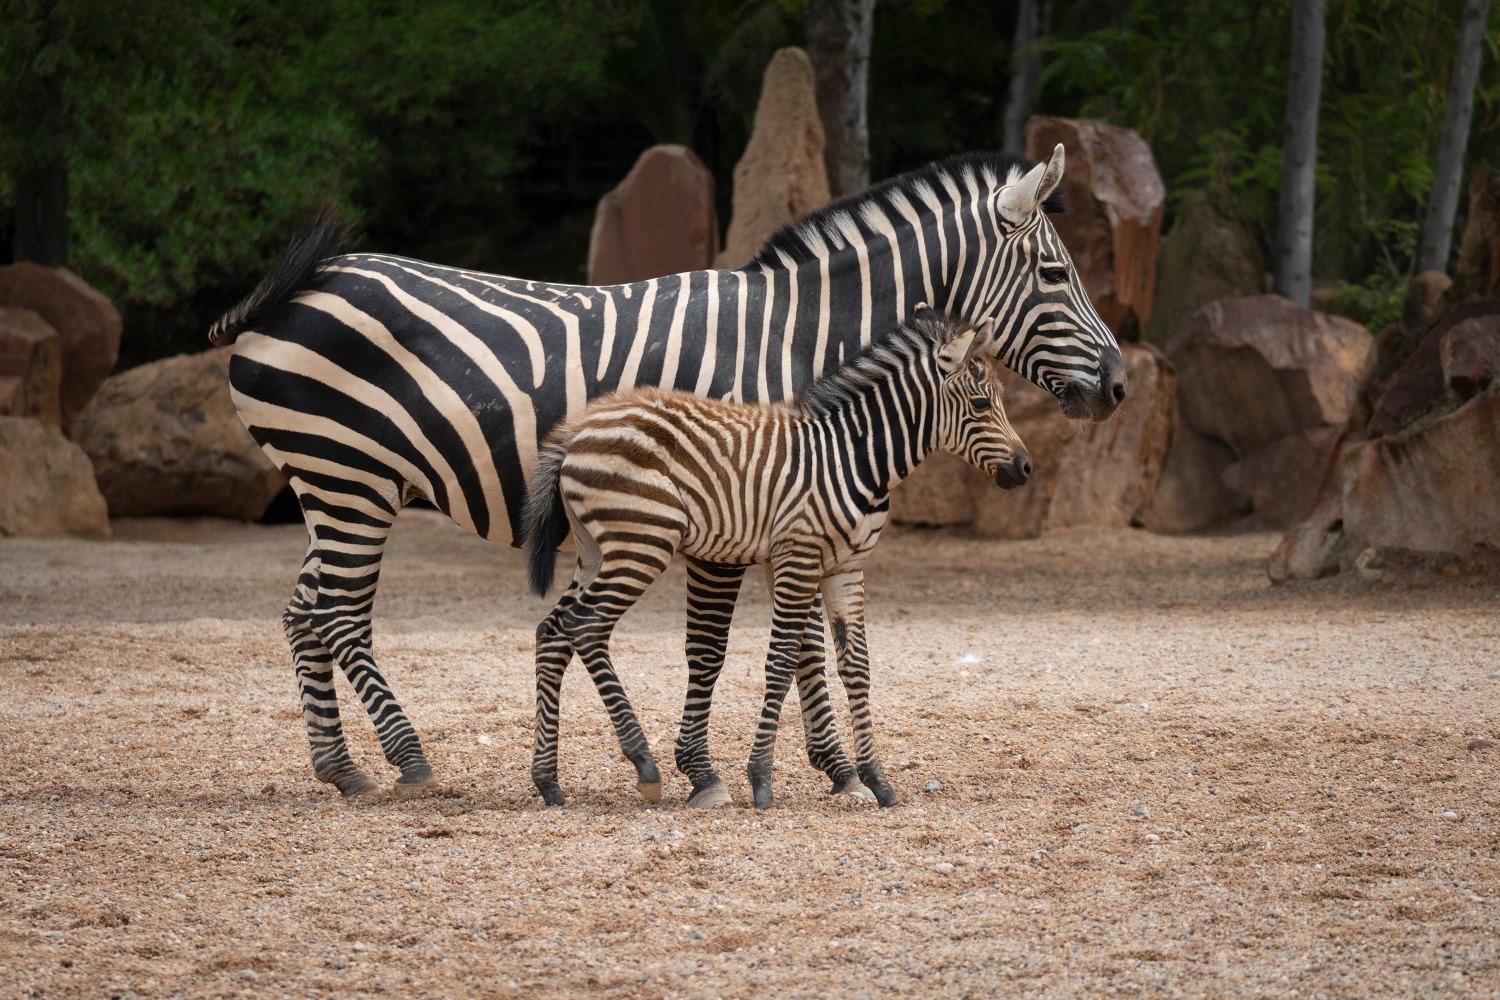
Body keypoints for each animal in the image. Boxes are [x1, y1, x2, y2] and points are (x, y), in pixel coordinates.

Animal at [522, 310, 1031, 809]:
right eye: (981, 406)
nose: (1026, 468)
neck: (853, 457)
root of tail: (577, 429)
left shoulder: (847, 567)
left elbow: (857, 665)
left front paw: (876, 779)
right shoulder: (798, 555)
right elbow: (783, 658)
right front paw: (762, 778)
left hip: (597, 550)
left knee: (553, 631)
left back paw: (549, 781)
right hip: (642, 542)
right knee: (586, 627)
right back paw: (644, 764)